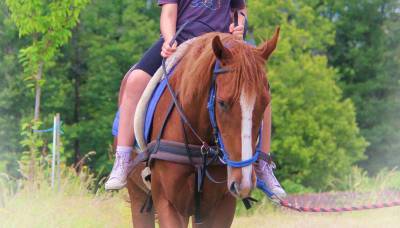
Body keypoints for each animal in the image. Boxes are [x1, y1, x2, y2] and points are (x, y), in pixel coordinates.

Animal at [126, 29, 280, 228]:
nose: (244, 182)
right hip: (137, 194)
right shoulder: (168, 204)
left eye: (265, 103)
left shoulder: (221, 207)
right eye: (222, 103)